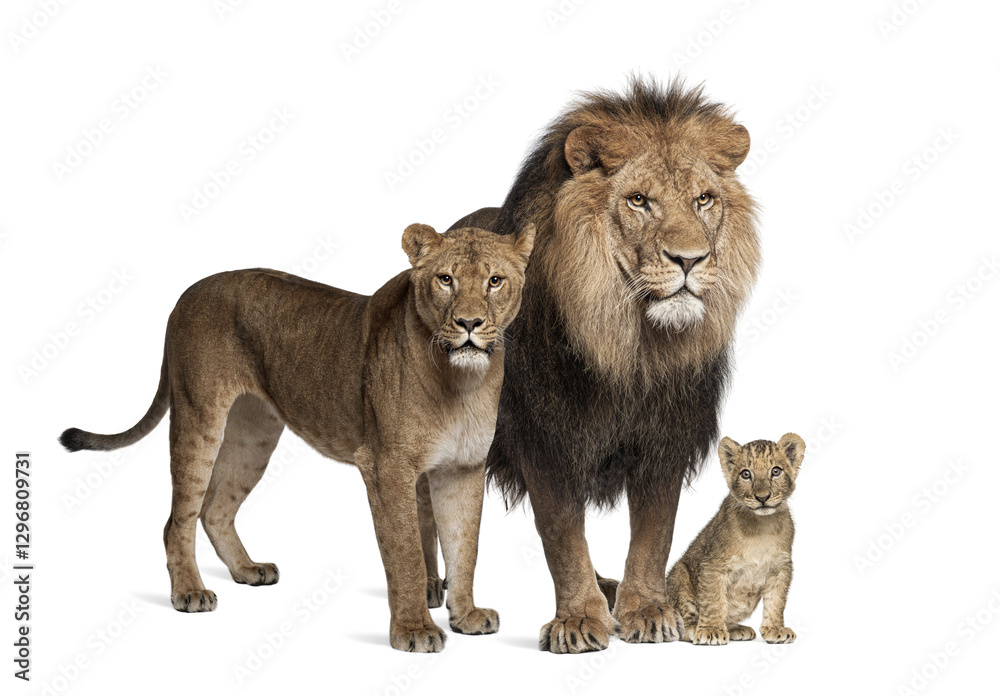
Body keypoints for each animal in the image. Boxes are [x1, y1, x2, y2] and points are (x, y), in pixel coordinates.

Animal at [59, 223, 535, 652]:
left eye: (495, 281)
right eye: (445, 279)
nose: (469, 322)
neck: (462, 382)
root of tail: (187, 293)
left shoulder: (463, 467)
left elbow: (465, 546)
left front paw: (466, 616)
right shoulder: (387, 466)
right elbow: (405, 555)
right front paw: (414, 630)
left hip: (254, 433)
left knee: (214, 509)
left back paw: (248, 570)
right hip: (199, 416)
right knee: (178, 517)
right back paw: (189, 592)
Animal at [447, 78, 761, 653]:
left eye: (703, 199)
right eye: (639, 200)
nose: (690, 260)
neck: (631, 349)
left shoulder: (666, 437)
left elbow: (655, 533)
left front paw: (648, 610)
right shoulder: (545, 438)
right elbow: (562, 535)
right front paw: (578, 620)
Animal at [666, 434, 804, 646]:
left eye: (776, 471)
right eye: (746, 474)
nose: (762, 497)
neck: (761, 526)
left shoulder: (781, 567)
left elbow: (776, 601)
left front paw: (775, 629)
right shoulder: (713, 564)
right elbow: (713, 600)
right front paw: (711, 630)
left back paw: (736, 629)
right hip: (679, 574)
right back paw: (694, 629)